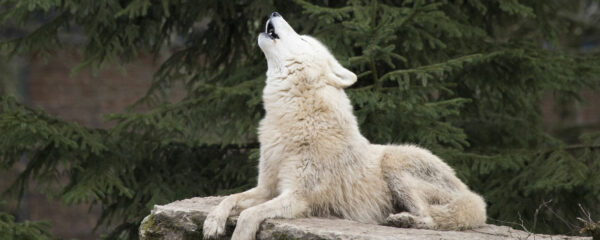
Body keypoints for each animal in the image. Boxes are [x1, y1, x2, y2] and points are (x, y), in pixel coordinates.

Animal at [204, 11, 486, 240]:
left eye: (303, 39)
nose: (275, 11)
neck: (297, 118)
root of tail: (472, 195)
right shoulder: (267, 188)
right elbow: (230, 198)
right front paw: (212, 222)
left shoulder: (298, 196)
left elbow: (249, 214)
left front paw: (238, 233)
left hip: (395, 164)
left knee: (432, 219)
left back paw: (404, 221)